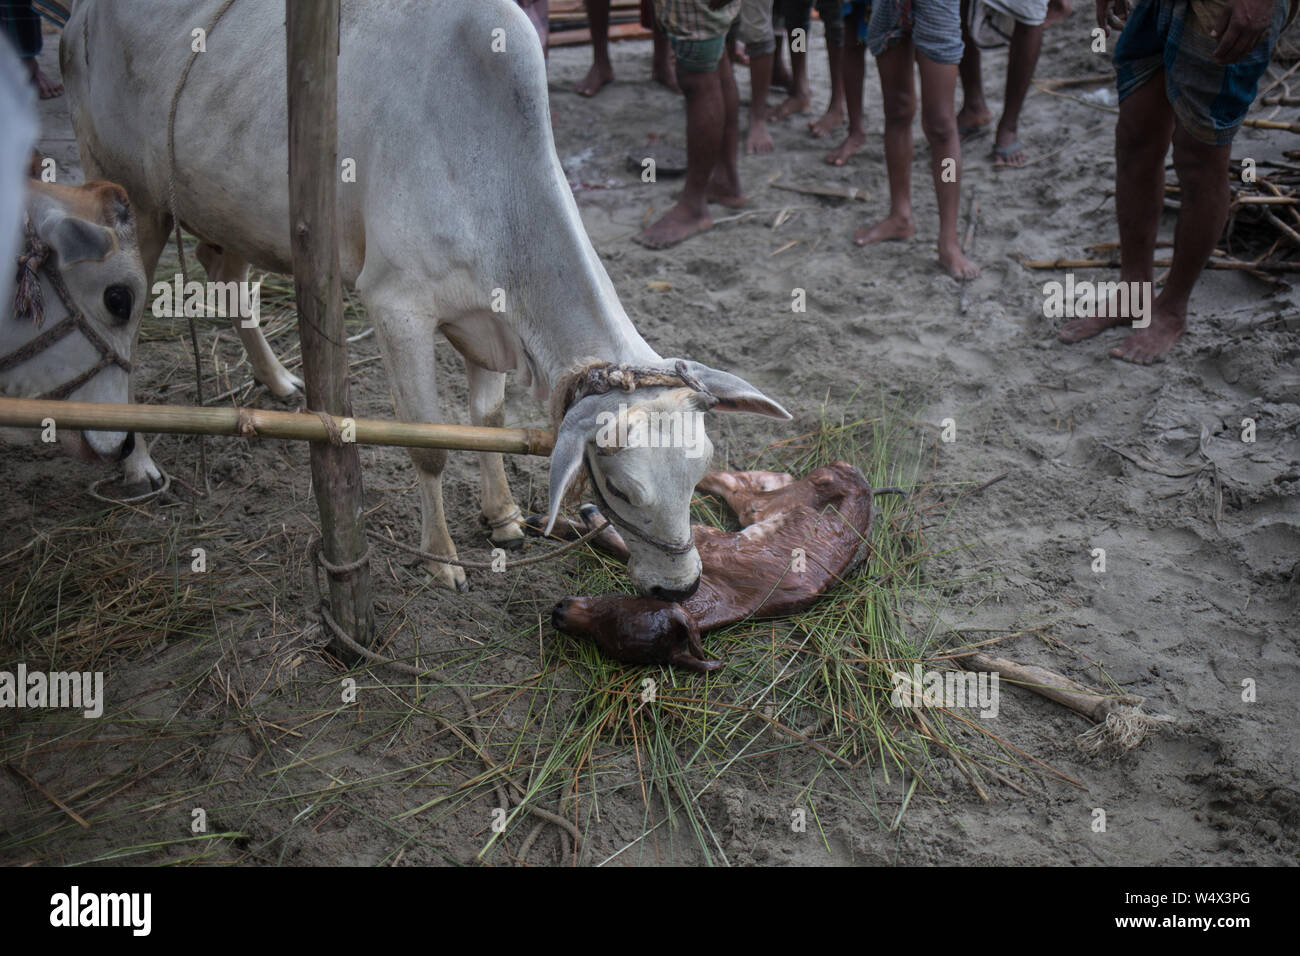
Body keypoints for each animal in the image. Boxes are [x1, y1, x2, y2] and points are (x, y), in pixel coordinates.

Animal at [61, 0, 785, 598]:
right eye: (625, 490)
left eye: (701, 469)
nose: (681, 589)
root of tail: (77, 19)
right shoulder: (396, 307)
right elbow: (428, 445)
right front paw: (441, 559)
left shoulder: (487, 320)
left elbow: (487, 421)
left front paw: (503, 518)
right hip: (131, 199)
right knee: (121, 333)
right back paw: (139, 461)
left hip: (225, 209)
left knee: (229, 282)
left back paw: (279, 381)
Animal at [538, 463, 873, 671]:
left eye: (612, 610)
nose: (558, 611)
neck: (726, 595)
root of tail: (857, 477)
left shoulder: (703, 543)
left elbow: (627, 544)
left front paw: (575, 518)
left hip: (773, 503)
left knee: (744, 491)